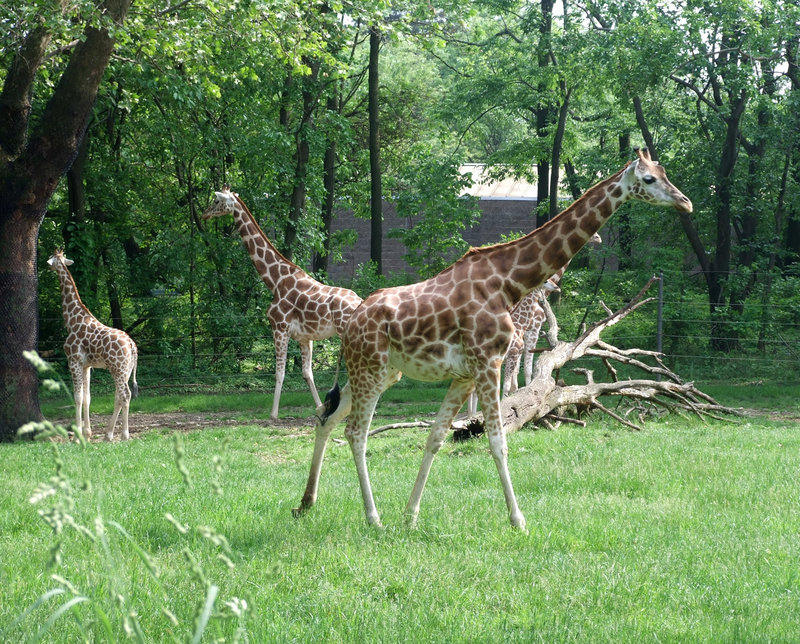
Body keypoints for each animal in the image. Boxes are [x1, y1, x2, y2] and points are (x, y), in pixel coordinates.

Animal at [47, 249, 138, 440]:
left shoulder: (73, 361)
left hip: (117, 368)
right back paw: (108, 434)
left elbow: (77, 397)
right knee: (119, 396)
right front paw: (87, 434)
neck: (72, 320)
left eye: (50, 260)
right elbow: (87, 398)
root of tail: (132, 345)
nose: (47, 267)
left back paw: (124, 435)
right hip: (125, 370)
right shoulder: (86, 365)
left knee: (125, 395)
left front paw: (77, 437)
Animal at [202, 186, 364, 422]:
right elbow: (307, 373)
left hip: (346, 333)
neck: (275, 281)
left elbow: (280, 372)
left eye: (216, 201)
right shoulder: (305, 337)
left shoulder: (279, 328)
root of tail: (362, 303)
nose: (204, 214)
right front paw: (320, 408)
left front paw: (273, 414)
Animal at [290, 150, 692, 528]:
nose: (685, 202)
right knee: (356, 432)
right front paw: (518, 520)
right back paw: (373, 518)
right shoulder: (488, 362)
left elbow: (436, 438)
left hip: (381, 372)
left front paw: (411, 515)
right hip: (370, 370)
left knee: (327, 418)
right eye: (649, 178)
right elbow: (498, 442)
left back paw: (306, 504)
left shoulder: (465, 375)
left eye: (664, 173)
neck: (508, 283)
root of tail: (350, 324)